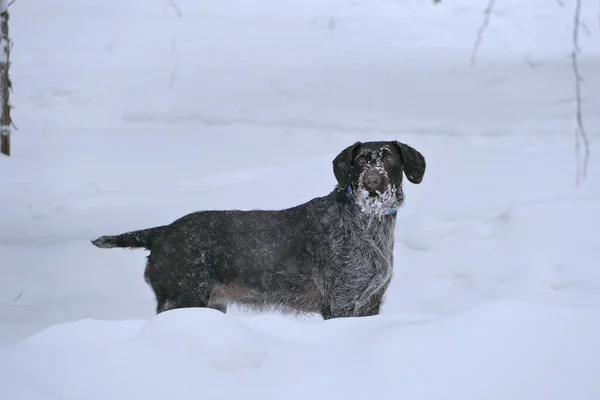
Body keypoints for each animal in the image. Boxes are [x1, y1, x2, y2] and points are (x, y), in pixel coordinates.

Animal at [91, 141, 424, 318]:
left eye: (389, 157)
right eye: (361, 161)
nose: (372, 181)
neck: (369, 223)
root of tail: (161, 233)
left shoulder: (370, 302)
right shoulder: (340, 302)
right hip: (184, 300)